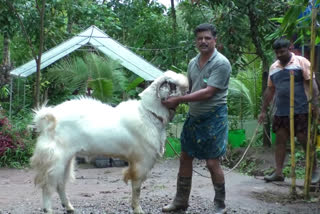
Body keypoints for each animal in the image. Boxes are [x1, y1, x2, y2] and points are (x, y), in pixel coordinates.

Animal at [30, 71, 188, 213]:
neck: (149, 114)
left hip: (67, 159)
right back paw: (48, 209)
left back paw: (68, 207)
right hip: (55, 159)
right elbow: (137, 188)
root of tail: (48, 119)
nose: (188, 91)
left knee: (60, 184)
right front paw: (137, 209)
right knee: (48, 185)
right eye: (173, 85)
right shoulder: (141, 161)